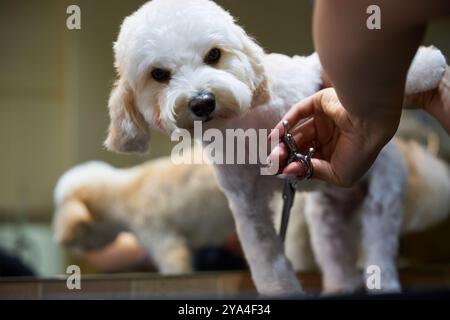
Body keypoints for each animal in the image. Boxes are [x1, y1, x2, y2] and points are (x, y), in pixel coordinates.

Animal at [103, 0, 450, 296]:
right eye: (158, 74)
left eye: (213, 54)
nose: (202, 102)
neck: (245, 125)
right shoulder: (248, 204)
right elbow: (266, 259)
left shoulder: (310, 78)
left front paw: (429, 65)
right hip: (327, 218)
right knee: (336, 254)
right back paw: (341, 286)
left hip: (383, 202)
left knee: (380, 249)